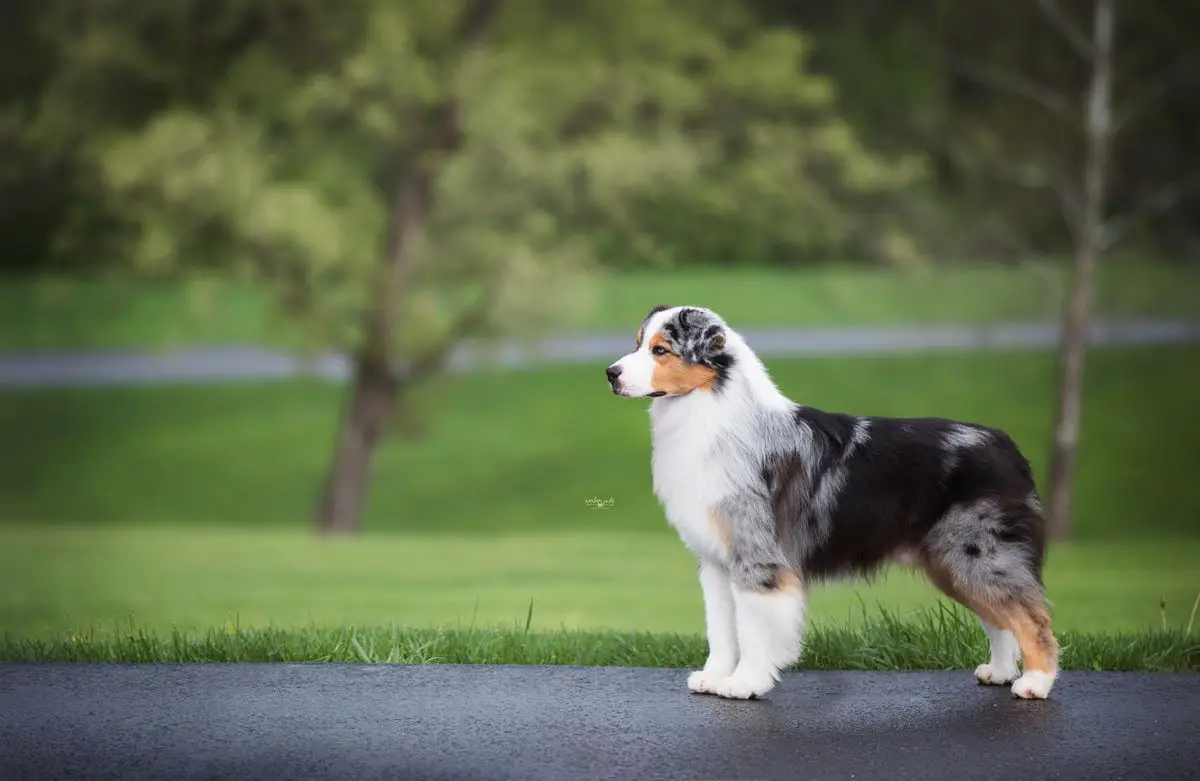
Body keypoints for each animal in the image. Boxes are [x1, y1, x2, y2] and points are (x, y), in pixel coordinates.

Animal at [609, 305, 1060, 700]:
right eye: (637, 343)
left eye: (660, 350)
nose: (610, 374)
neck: (710, 411)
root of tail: (1006, 445)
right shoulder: (717, 562)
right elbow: (720, 627)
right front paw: (714, 676)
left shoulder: (758, 558)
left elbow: (753, 629)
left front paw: (744, 684)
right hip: (952, 562)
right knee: (999, 618)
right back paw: (999, 671)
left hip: (978, 553)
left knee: (1032, 619)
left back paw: (1034, 684)